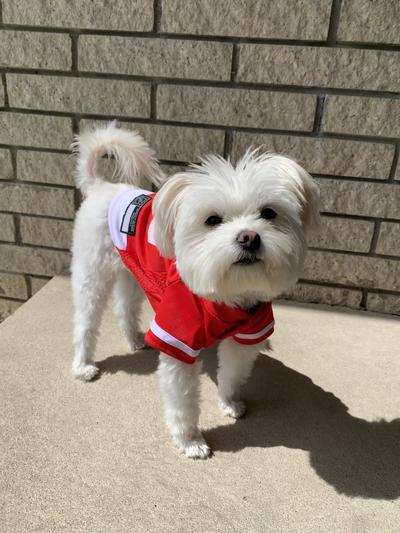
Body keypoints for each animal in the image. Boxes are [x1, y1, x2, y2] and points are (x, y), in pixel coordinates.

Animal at [70, 121, 320, 458]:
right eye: (212, 220)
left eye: (269, 213)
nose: (249, 237)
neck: (226, 298)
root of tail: (101, 186)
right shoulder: (178, 337)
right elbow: (183, 402)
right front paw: (191, 441)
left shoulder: (247, 334)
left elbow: (233, 373)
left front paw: (228, 403)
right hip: (92, 271)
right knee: (86, 321)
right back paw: (83, 365)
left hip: (133, 273)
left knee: (125, 307)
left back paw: (135, 339)